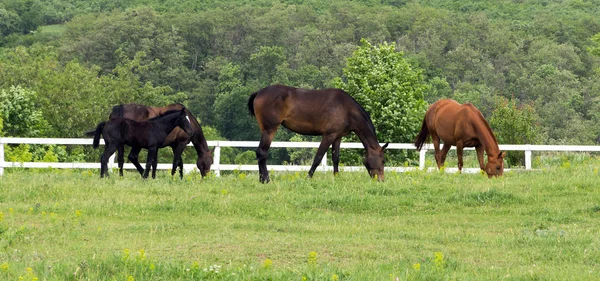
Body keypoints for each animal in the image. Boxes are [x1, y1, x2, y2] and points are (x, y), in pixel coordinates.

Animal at [247, 84, 390, 183]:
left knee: (260, 153)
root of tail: (259, 92)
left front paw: (336, 177)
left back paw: (262, 179)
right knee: (262, 153)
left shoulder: (337, 137)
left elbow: (336, 158)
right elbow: (318, 157)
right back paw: (266, 180)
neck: (345, 108)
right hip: (270, 129)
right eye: (383, 160)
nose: (381, 180)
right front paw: (308, 177)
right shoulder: (328, 136)